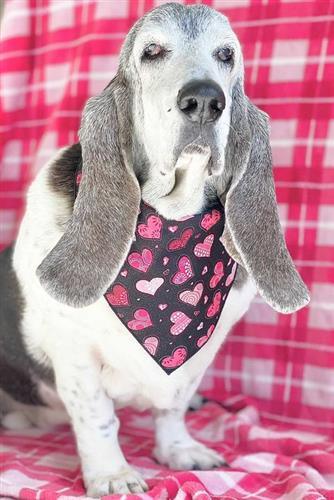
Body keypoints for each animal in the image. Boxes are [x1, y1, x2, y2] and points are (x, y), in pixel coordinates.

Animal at [0, 2, 310, 496]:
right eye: (151, 51)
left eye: (226, 54)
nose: (205, 100)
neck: (172, 225)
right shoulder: (75, 354)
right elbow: (99, 419)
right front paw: (112, 475)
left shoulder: (198, 357)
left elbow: (173, 406)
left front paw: (179, 449)